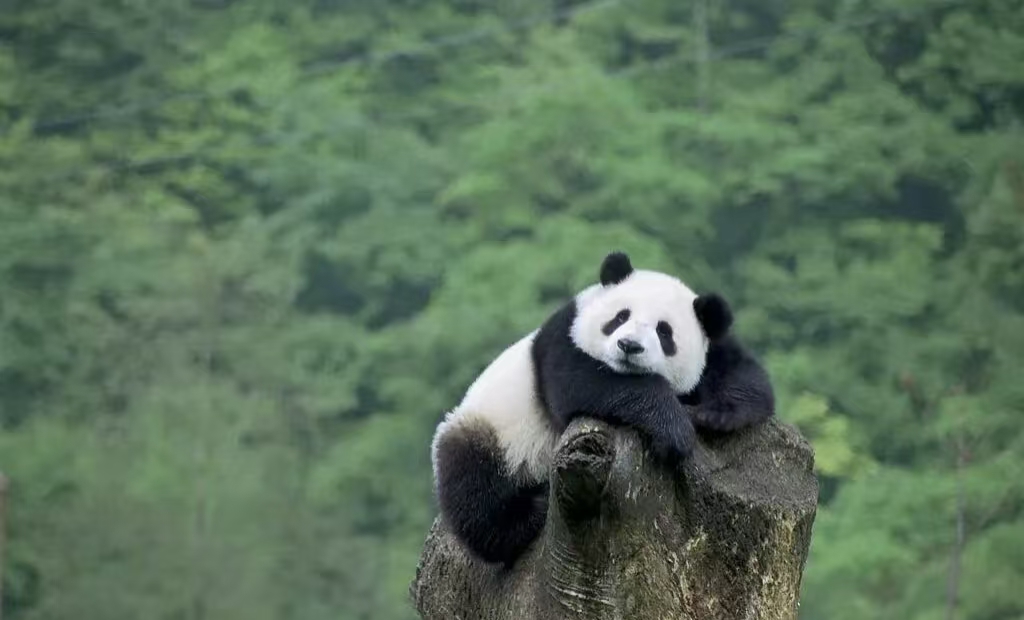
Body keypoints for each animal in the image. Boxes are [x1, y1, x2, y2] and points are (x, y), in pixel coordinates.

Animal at [430, 251, 774, 567]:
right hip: (489, 430)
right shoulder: (563, 336)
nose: (629, 346)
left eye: (664, 332)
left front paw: (716, 414)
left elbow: (740, 372)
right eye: (620, 317)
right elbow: (582, 383)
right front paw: (674, 430)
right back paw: (532, 510)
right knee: (475, 491)